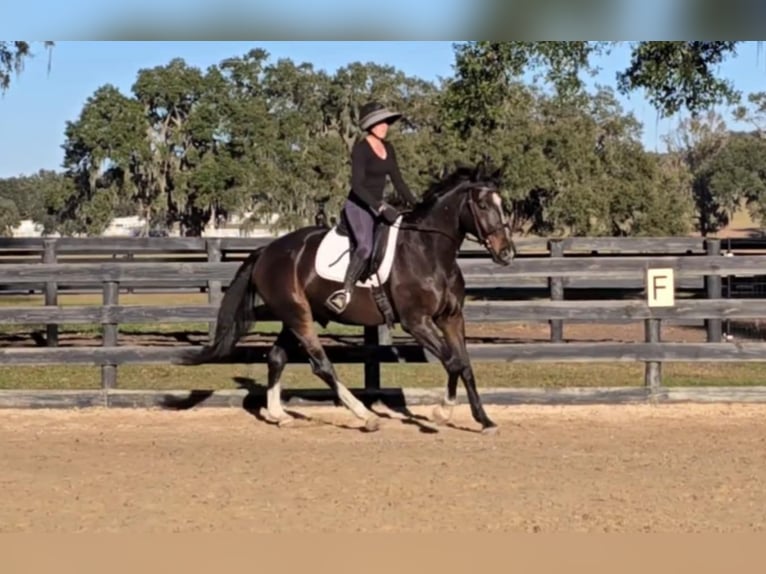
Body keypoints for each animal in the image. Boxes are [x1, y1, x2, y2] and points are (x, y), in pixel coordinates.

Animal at [176, 164, 516, 434]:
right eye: (482, 205)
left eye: (502, 204)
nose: (507, 253)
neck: (429, 251)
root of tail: (266, 250)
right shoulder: (416, 322)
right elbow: (453, 361)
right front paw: (441, 412)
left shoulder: (451, 318)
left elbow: (465, 365)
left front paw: (485, 421)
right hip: (299, 316)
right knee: (321, 365)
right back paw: (365, 416)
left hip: (295, 316)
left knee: (276, 357)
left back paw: (279, 415)